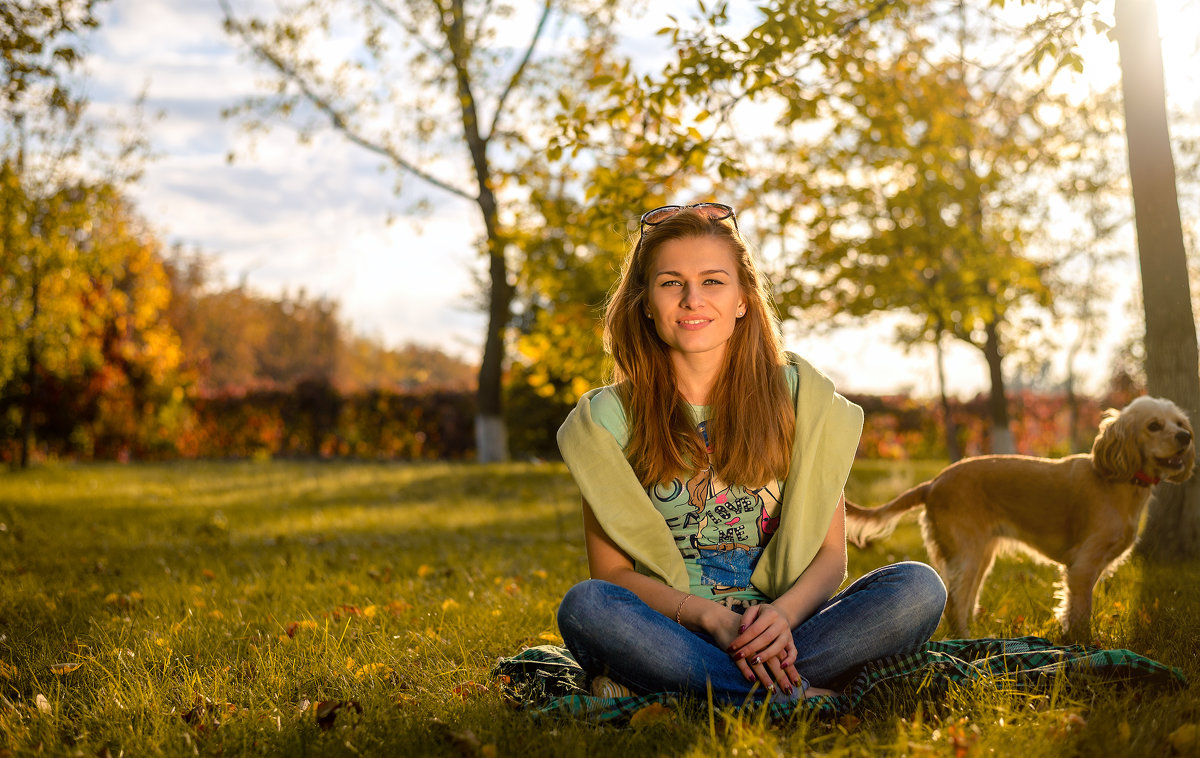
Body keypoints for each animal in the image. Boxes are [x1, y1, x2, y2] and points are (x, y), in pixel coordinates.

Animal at [844, 395, 1190, 638]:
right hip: (967, 554)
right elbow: (1081, 612)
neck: (1120, 481)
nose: (1186, 437)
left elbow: (1073, 609)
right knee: (954, 604)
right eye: (1154, 425)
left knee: (965, 602)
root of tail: (933, 483)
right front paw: (1085, 644)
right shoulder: (1082, 565)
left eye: (1180, 423)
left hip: (980, 556)